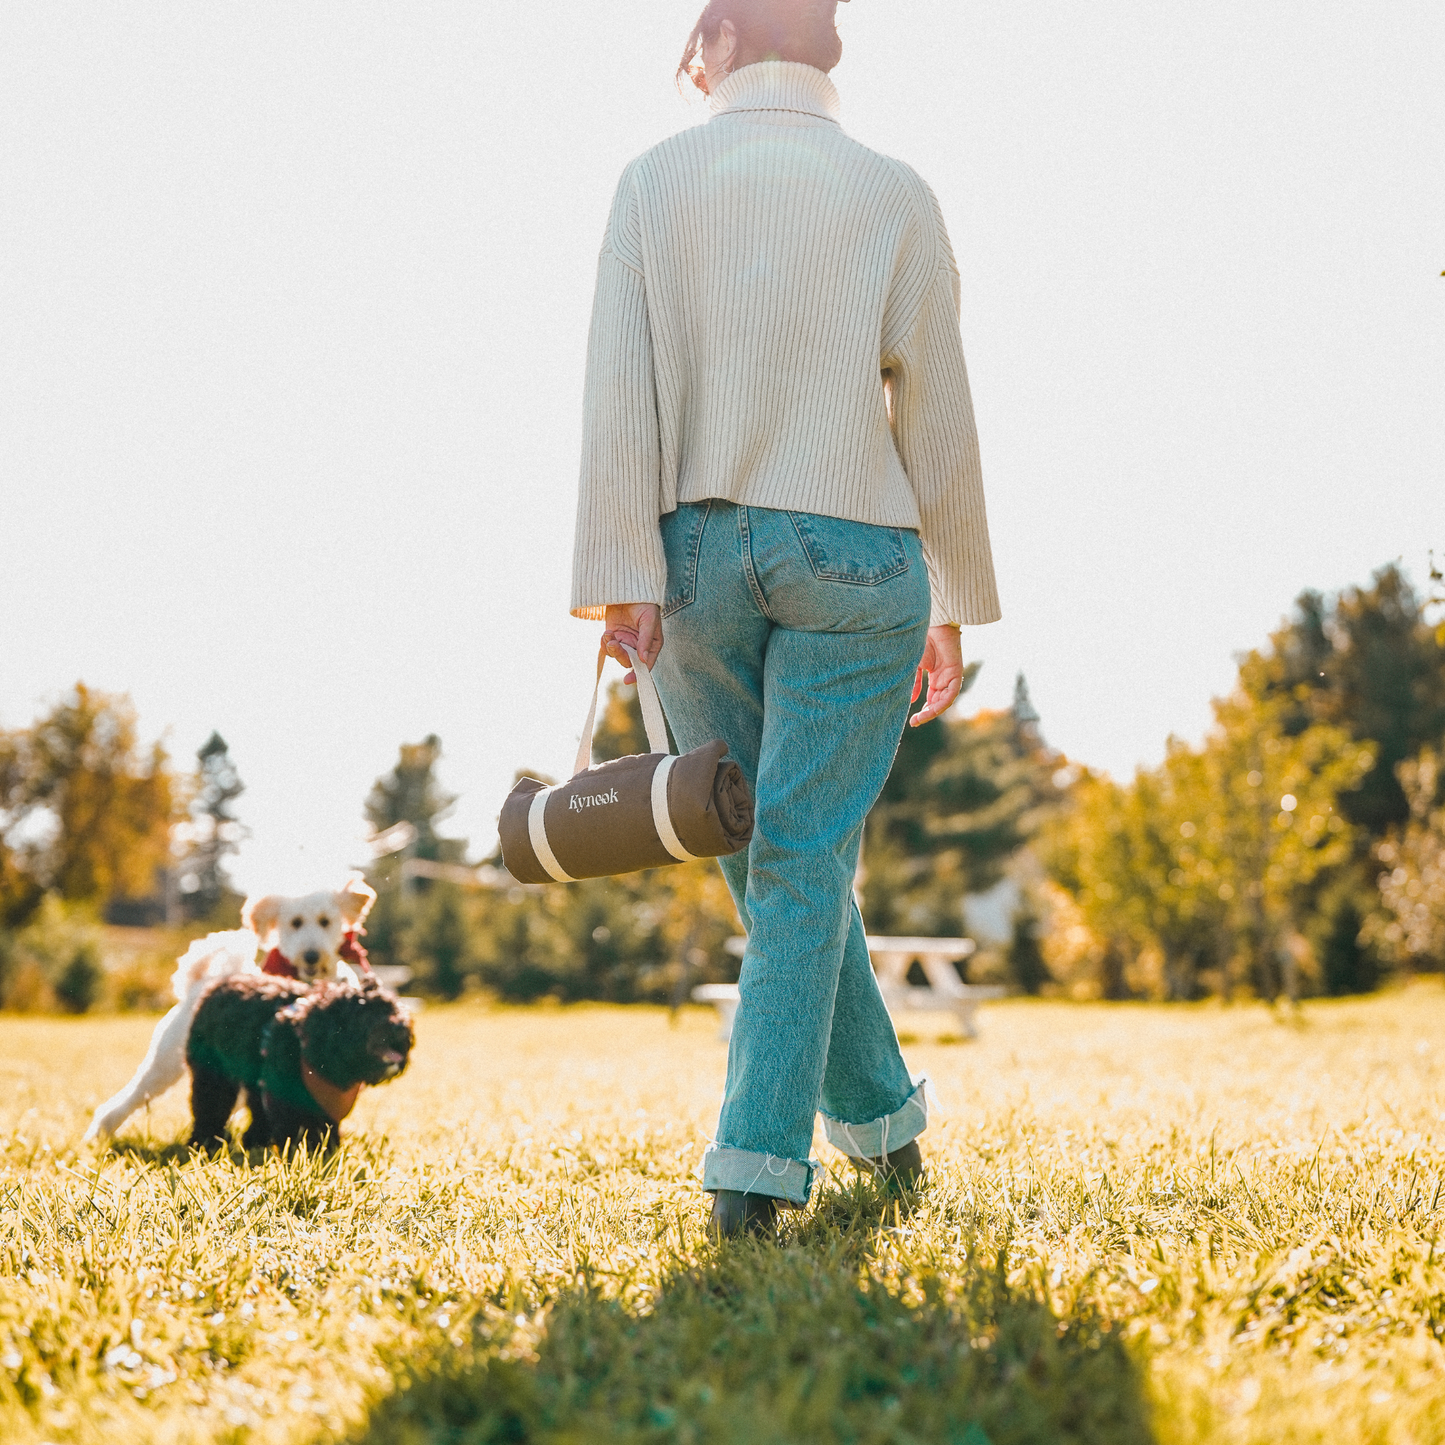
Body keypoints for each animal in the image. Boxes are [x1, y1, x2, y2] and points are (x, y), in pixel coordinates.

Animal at [82, 878, 378, 1138]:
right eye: (295, 923)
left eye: (325, 922)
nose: (311, 956)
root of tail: (198, 982)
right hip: (165, 1063)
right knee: (132, 1096)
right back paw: (101, 1132)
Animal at [183, 971, 413, 1150]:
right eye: (365, 1013)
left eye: (393, 1008)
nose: (401, 1026)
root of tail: (216, 986)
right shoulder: (287, 1093)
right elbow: (294, 1124)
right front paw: (304, 1150)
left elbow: (326, 1124)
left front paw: (328, 1147)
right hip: (213, 1073)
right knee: (210, 1103)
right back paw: (205, 1141)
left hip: (257, 1078)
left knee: (256, 1107)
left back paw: (255, 1140)